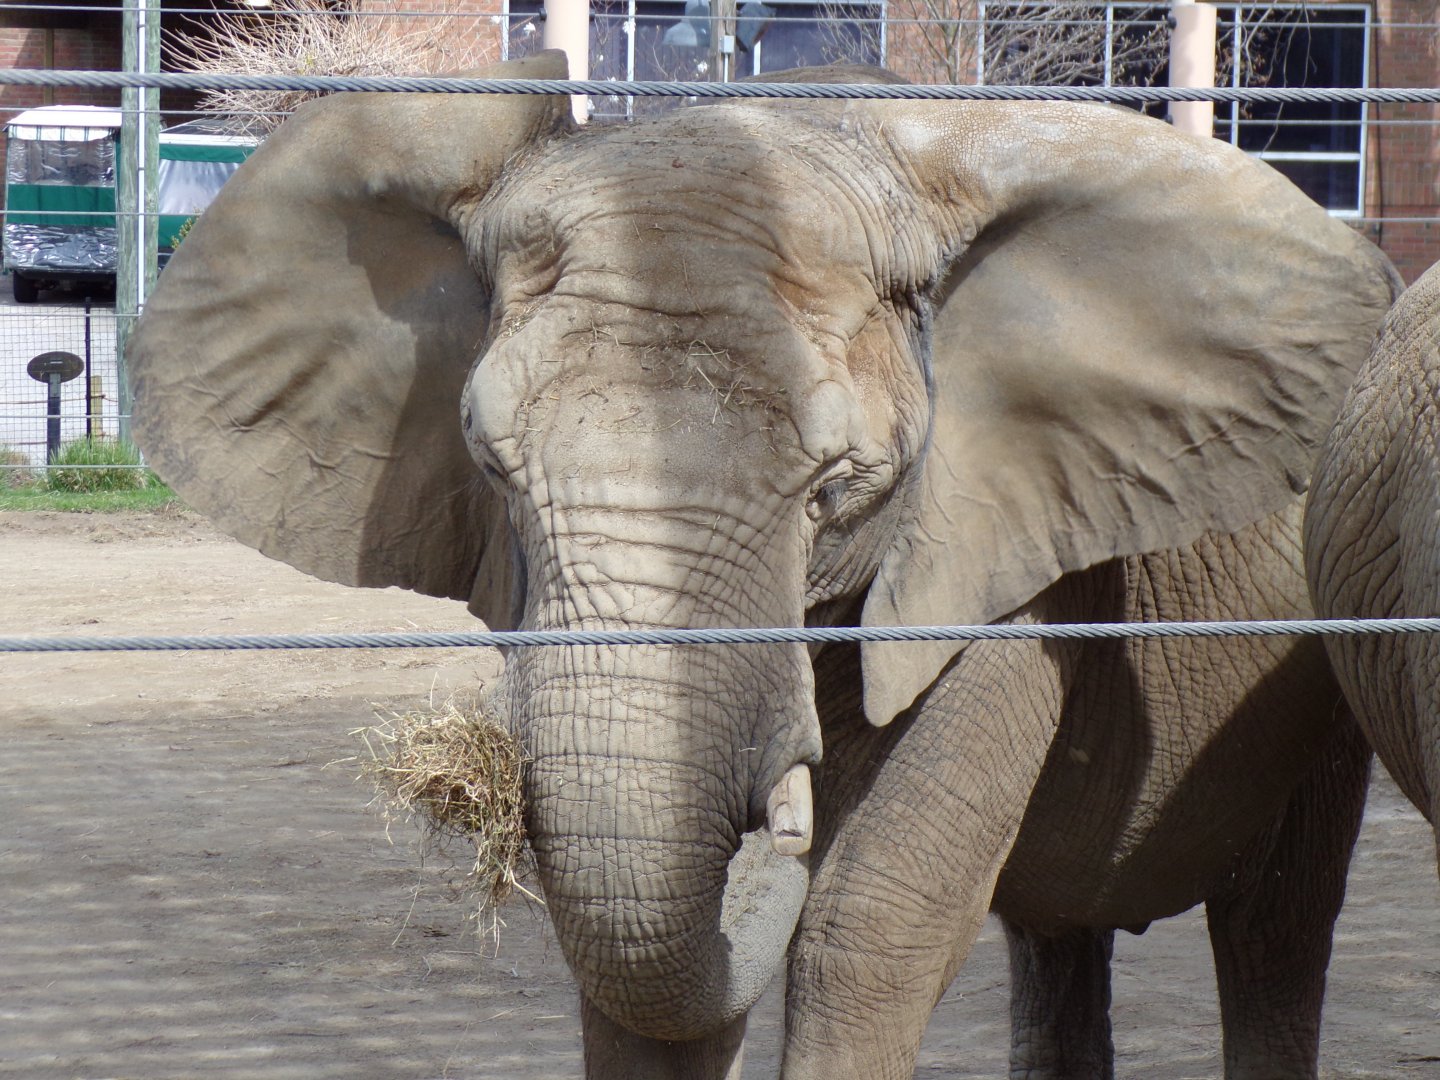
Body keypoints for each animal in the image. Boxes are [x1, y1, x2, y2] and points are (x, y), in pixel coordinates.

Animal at [127, 52, 1400, 1079]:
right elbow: (628, 974)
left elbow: (868, 923)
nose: (773, 820)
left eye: (834, 483)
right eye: (490, 465)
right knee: (1061, 945)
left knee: (1277, 928)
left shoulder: (1005, 557)